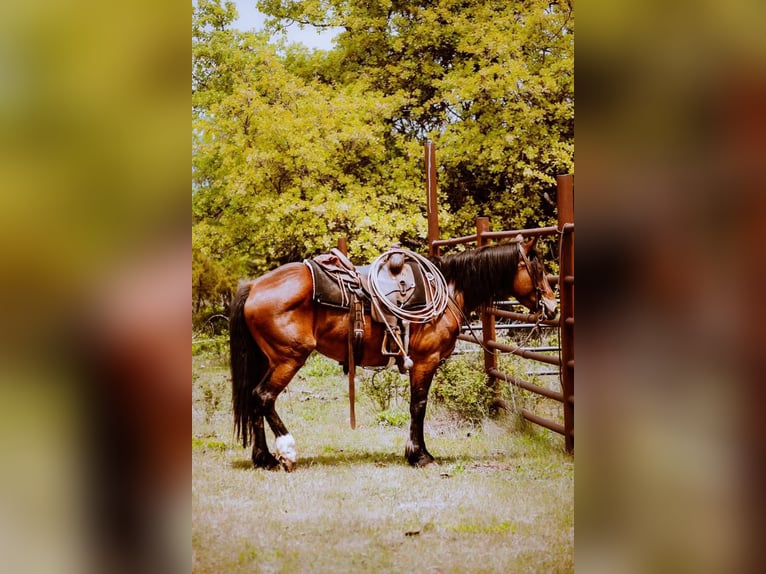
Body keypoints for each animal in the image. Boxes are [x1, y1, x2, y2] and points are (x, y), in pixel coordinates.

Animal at [228, 236, 560, 470]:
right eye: (539, 268)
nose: (553, 306)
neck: (448, 289)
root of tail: (254, 285)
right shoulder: (425, 361)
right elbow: (418, 406)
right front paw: (420, 455)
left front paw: (416, 452)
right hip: (289, 358)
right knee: (263, 397)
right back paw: (286, 452)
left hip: (269, 360)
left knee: (255, 402)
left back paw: (264, 458)